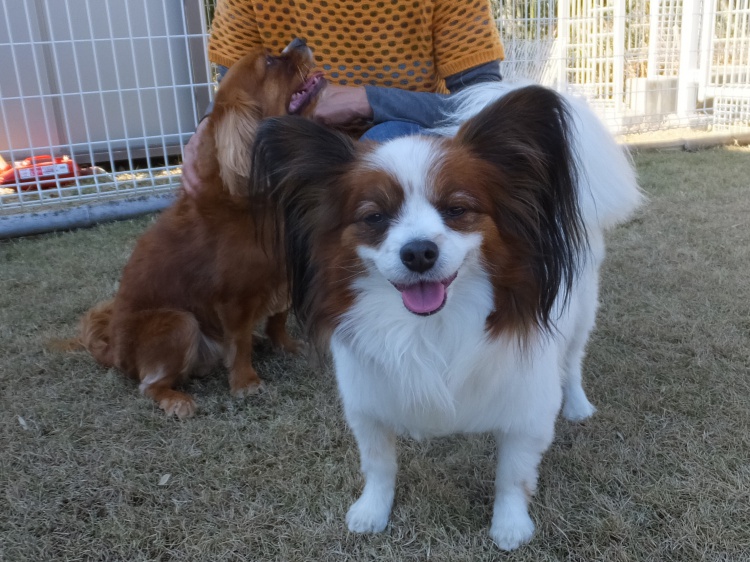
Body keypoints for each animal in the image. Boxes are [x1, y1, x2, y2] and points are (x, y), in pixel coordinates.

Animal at [68, 39, 325, 419]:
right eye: (269, 61)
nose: (299, 41)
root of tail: (114, 352)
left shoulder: (284, 274)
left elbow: (277, 318)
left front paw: (287, 346)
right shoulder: (234, 299)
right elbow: (239, 342)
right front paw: (246, 383)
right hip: (180, 322)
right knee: (151, 384)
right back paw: (177, 400)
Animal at [250, 83, 643, 549]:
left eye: (457, 210)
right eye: (374, 217)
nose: (419, 252)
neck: (432, 327)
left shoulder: (527, 405)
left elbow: (512, 474)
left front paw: (510, 526)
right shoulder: (367, 402)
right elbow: (379, 464)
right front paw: (372, 511)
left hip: (581, 315)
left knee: (573, 363)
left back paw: (579, 406)